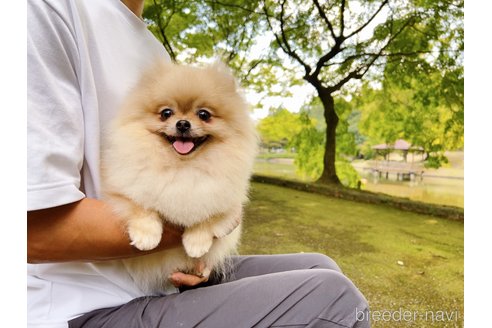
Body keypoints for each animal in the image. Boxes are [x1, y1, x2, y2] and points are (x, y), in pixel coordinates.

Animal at [102, 60, 260, 294]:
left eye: (204, 115)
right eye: (166, 113)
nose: (183, 123)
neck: (183, 167)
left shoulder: (228, 205)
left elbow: (208, 216)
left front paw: (196, 243)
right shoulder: (121, 190)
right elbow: (141, 207)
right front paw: (146, 236)